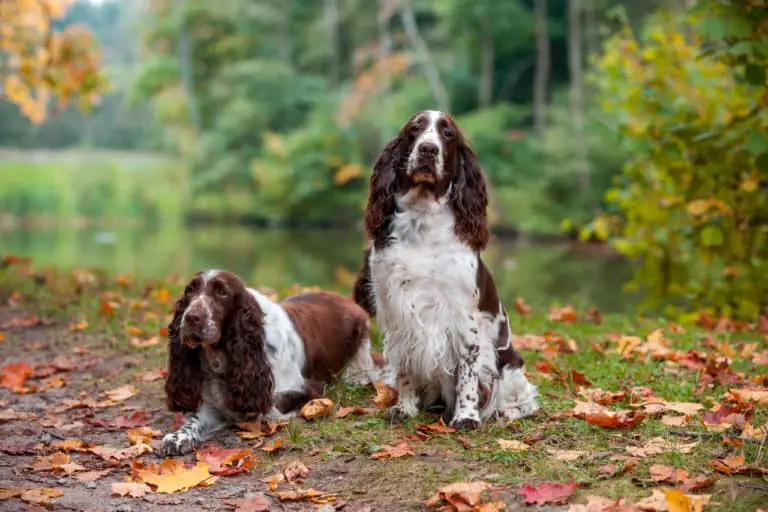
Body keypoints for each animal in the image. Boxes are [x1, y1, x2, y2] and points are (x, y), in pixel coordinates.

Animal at [161, 270, 378, 454]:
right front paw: (178, 437)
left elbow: (269, 407)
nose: (191, 318)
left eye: (222, 292)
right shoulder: (213, 403)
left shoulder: (306, 387)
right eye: (190, 290)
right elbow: (196, 419)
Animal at [354, 110, 540, 430]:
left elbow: (468, 371)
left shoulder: (462, 314)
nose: (428, 149)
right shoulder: (396, 310)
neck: (421, 219)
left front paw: (466, 416)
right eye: (415, 128)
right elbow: (404, 367)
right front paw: (405, 408)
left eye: (448, 134)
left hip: (509, 365)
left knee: (522, 399)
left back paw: (504, 413)